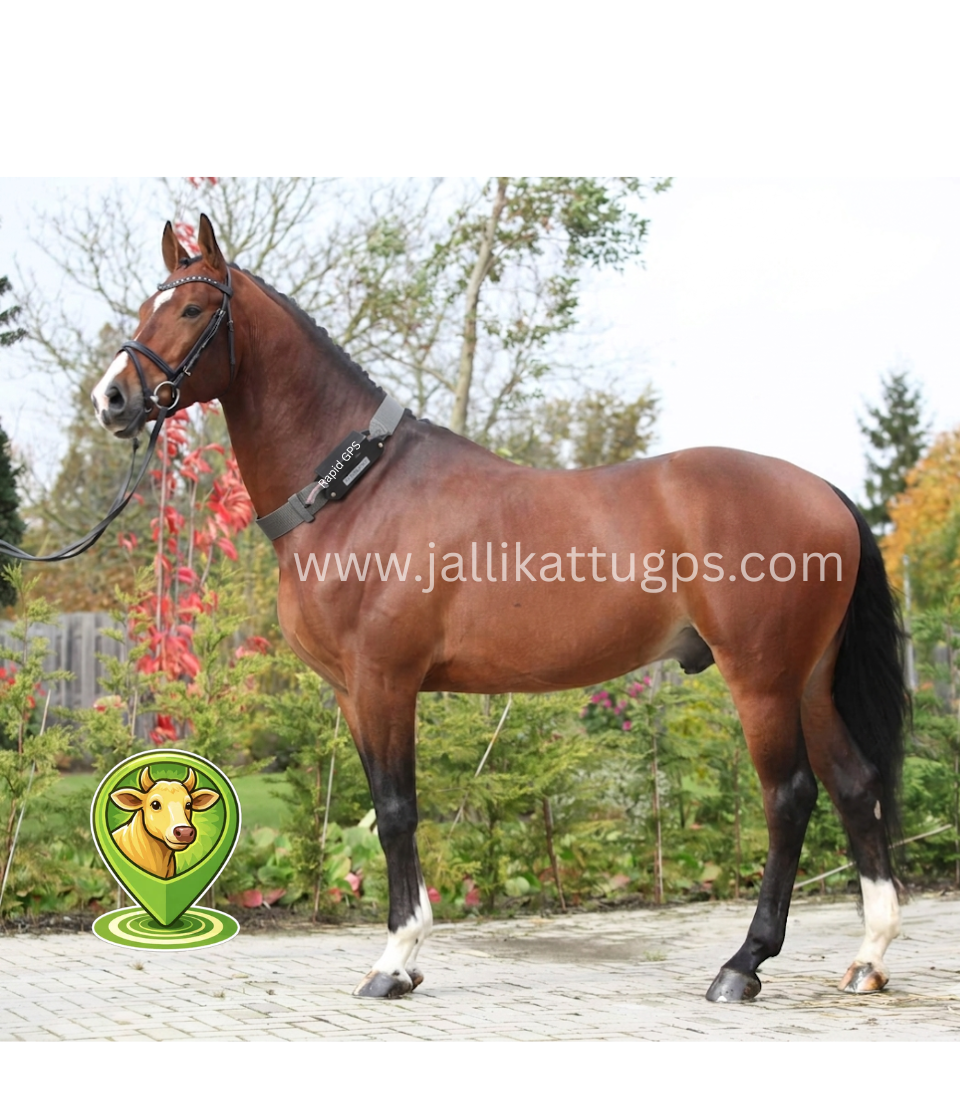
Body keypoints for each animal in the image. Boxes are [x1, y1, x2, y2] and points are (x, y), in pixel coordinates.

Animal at [91, 214, 907, 1003]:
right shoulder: (352, 692)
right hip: (810, 681)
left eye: (194, 309)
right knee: (854, 785)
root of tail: (824, 491)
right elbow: (386, 808)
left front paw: (396, 961)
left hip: (762, 679)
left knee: (788, 797)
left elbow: (396, 811)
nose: (112, 398)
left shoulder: (385, 680)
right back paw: (867, 957)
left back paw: (743, 965)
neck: (357, 487)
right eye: (147, 306)